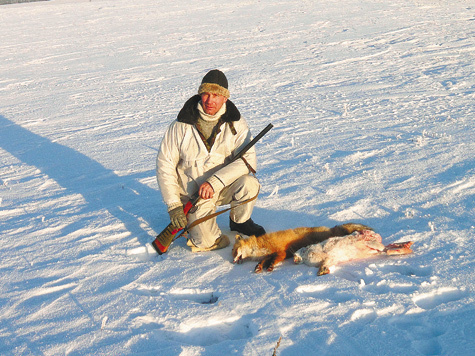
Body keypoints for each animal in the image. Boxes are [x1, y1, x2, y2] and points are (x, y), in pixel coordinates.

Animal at [232, 222, 374, 272]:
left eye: (234, 251)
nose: (233, 261)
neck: (262, 246)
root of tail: (331, 229)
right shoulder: (269, 254)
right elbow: (264, 261)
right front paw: (259, 266)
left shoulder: (281, 252)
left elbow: (274, 260)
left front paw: (270, 267)